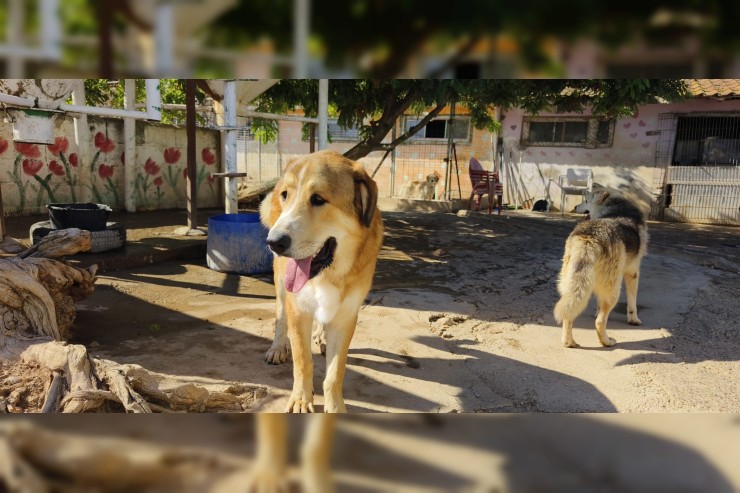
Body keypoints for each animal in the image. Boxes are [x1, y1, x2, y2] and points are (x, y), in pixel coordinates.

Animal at [260, 150, 384, 412]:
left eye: (318, 199)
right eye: (286, 195)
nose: (273, 242)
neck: (329, 274)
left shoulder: (346, 316)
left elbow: (335, 372)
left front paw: (335, 407)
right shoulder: (298, 310)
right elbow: (302, 361)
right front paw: (300, 399)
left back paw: (321, 336)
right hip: (281, 283)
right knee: (280, 315)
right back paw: (278, 347)